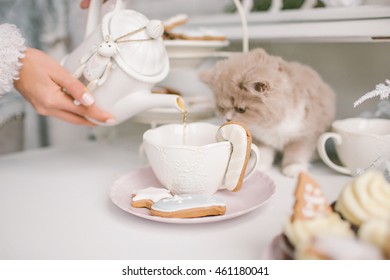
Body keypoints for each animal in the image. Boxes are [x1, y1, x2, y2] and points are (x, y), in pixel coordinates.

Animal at [200, 47, 336, 176]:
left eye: (241, 110)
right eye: (221, 108)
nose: (227, 118)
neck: (271, 124)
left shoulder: (305, 135)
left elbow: (296, 153)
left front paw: (293, 169)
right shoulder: (263, 139)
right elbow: (264, 153)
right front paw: (259, 166)